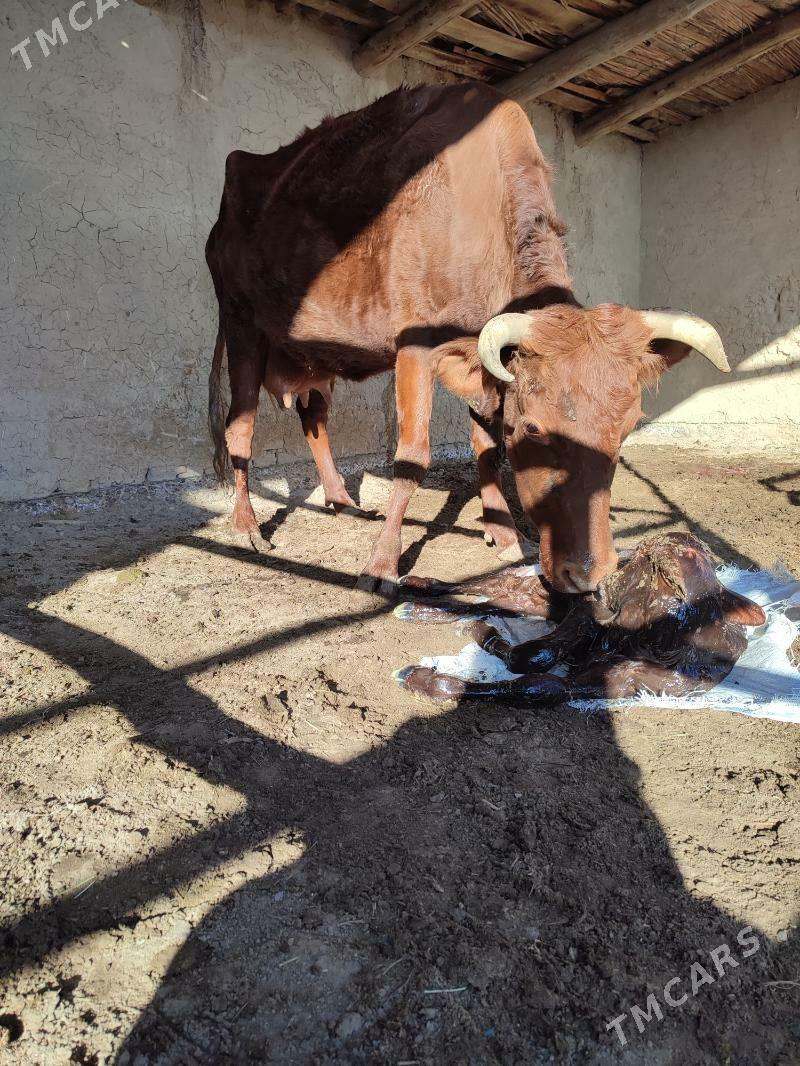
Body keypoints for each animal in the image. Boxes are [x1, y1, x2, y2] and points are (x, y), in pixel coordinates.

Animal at [206, 82, 729, 596]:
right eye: (534, 428)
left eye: (626, 429)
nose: (590, 574)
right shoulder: (414, 345)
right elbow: (412, 458)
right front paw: (381, 565)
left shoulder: (488, 368)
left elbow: (488, 449)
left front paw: (504, 535)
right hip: (240, 322)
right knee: (240, 426)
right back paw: (247, 525)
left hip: (316, 355)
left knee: (314, 419)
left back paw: (342, 501)